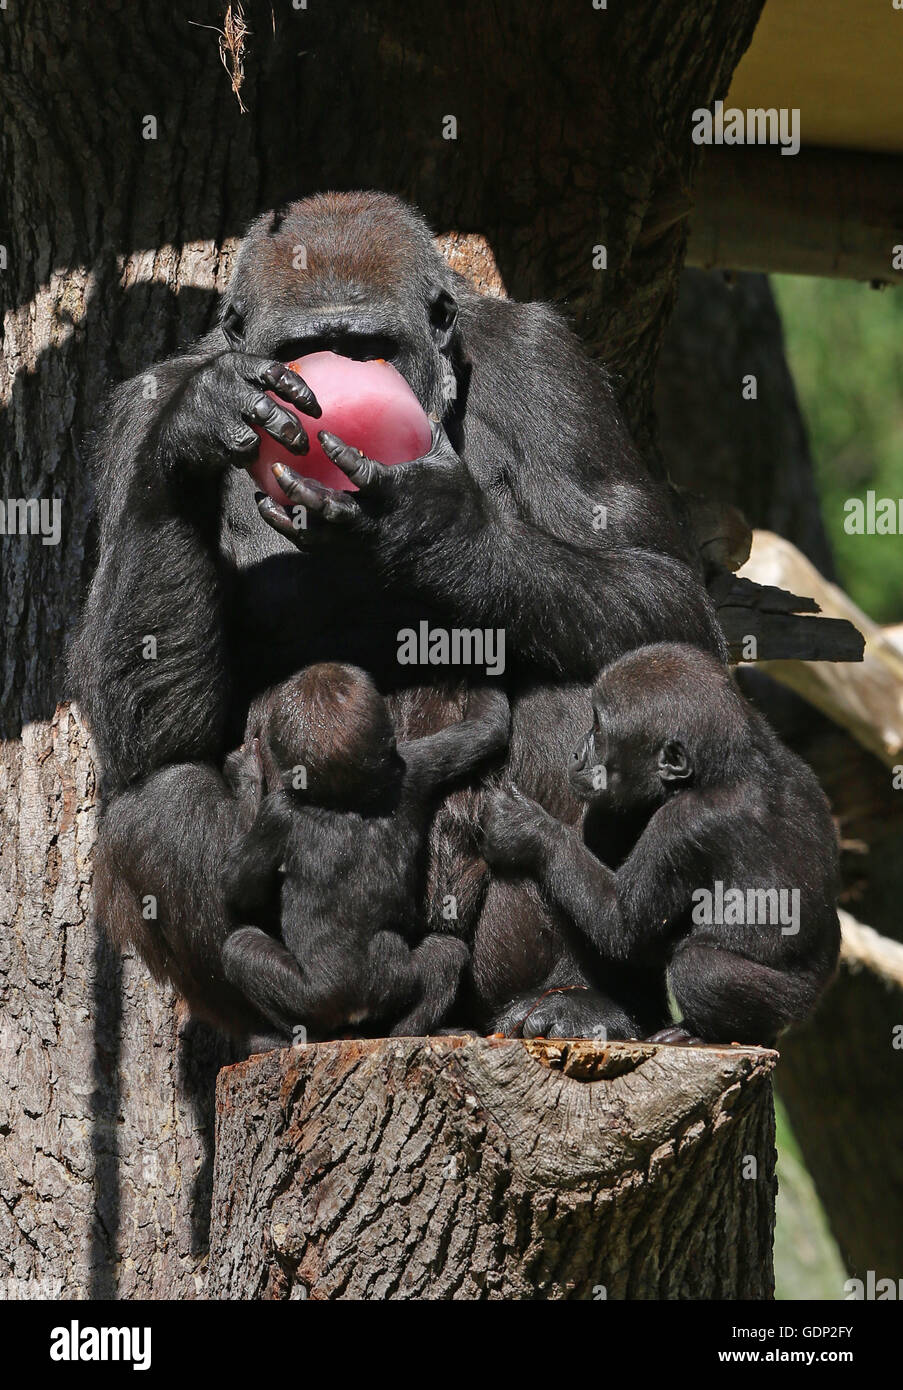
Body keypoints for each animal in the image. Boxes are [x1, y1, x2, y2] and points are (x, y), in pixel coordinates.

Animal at [219, 664, 505, 1045]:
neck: (347, 796)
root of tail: (356, 1004)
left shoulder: (277, 813)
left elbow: (236, 886)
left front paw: (245, 771)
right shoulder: (414, 767)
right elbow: (484, 731)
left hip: (313, 999)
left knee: (239, 949)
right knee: (448, 953)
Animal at [480, 639, 839, 1045]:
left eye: (599, 731)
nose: (576, 753)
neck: (730, 763)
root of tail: (813, 998)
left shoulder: (682, 825)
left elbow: (623, 926)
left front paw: (527, 830)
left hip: (788, 1001)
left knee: (700, 968)